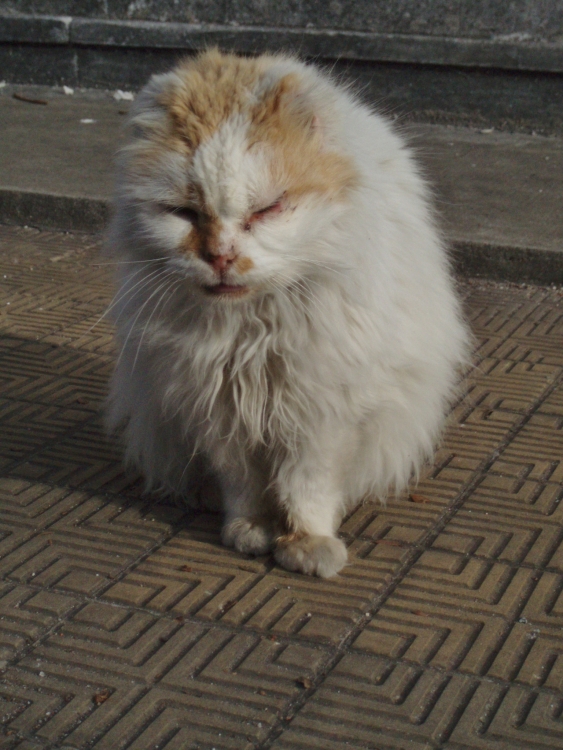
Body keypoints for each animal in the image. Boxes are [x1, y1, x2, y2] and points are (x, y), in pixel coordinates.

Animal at [106, 50, 472, 580]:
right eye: (184, 213)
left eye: (268, 209)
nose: (220, 257)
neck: (249, 334)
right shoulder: (219, 407)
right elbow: (242, 485)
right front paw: (250, 531)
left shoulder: (320, 413)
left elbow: (306, 488)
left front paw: (307, 547)